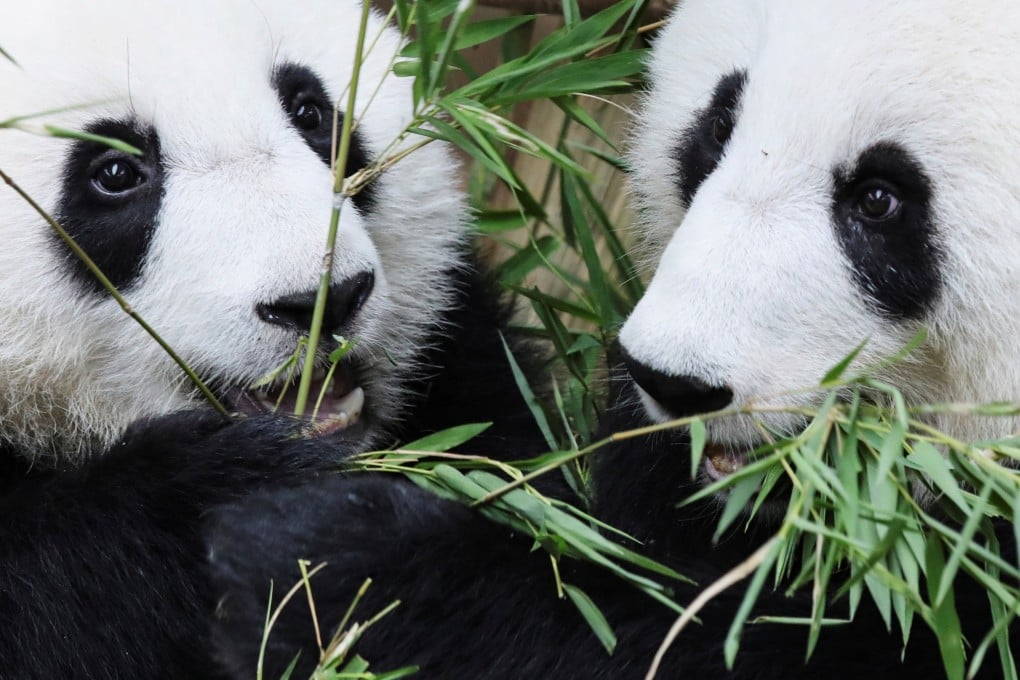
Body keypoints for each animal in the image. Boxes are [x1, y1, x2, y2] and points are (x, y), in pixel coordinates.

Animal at [0, 1, 545, 677]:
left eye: (310, 111)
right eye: (115, 172)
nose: (324, 300)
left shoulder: (466, 364)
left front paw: (340, 555)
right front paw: (220, 491)